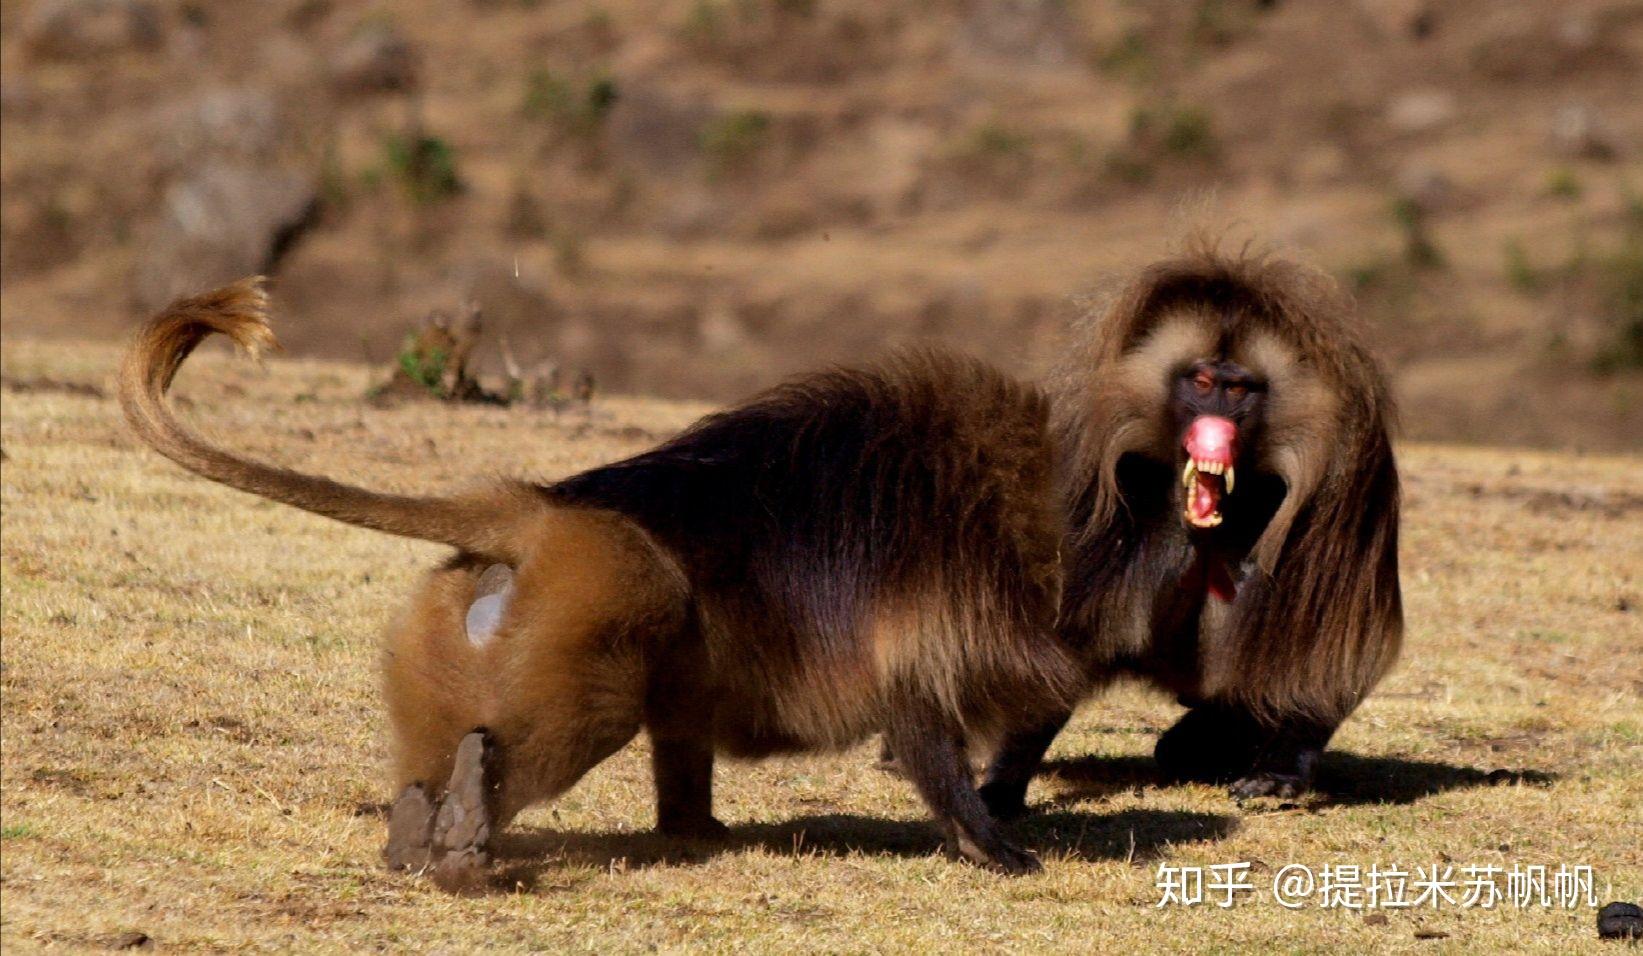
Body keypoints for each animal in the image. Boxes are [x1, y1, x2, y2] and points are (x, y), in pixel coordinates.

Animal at [119, 278, 1087, 887]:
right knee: (590, 708)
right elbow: (927, 735)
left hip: (459, 623)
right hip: (611, 585)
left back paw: (422, 833)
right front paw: (994, 849)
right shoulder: (933, 631)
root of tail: (538, 511)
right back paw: (460, 839)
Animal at [974, 245, 1403, 817]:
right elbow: (1065, 627)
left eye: (1239, 389)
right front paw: (1001, 783)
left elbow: (1327, 640)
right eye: (1201, 385)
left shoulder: (1348, 475)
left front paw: (1279, 773)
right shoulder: (1086, 464)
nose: (1217, 431)